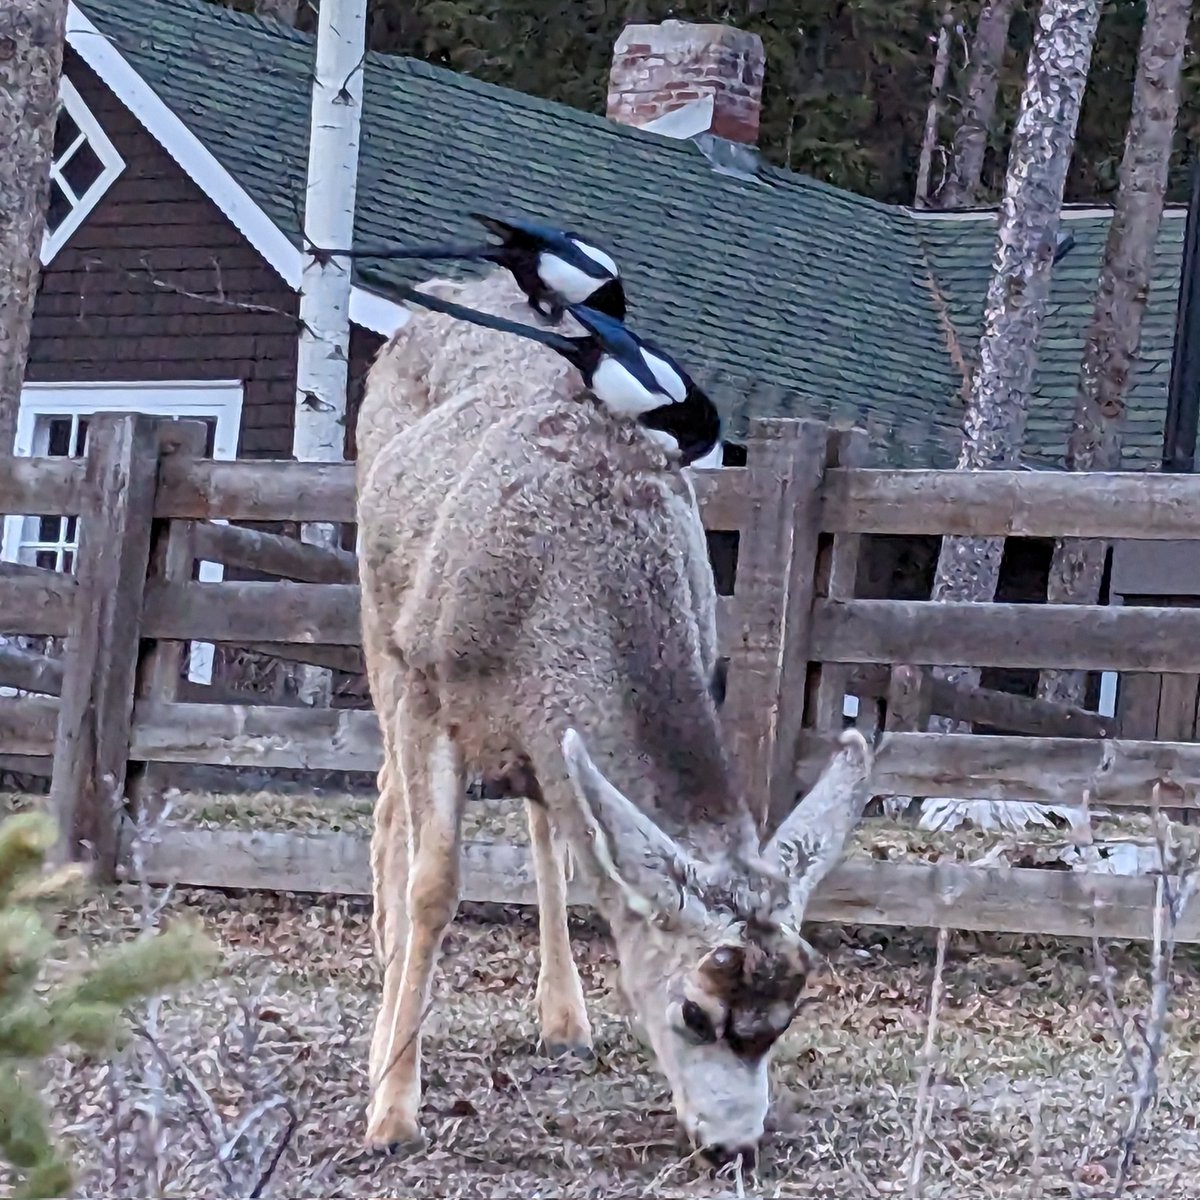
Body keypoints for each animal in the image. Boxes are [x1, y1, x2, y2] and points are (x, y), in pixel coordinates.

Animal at [355, 267, 873, 1168]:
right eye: (694, 1010)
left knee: (546, 827)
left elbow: (569, 844)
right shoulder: (426, 678)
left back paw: (563, 1018)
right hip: (372, 604)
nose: (733, 1144)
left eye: (788, 1018)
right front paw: (390, 1110)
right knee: (389, 792)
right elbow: (435, 883)